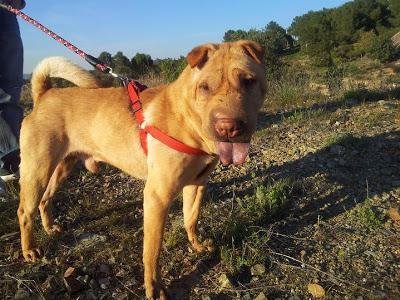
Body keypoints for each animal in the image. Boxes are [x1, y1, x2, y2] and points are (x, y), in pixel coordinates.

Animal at [18, 39, 266, 298]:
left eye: (248, 80)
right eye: (205, 87)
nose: (229, 128)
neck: (186, 119)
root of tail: (45, 94)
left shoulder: (197, 185)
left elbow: (191, 219)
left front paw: (197, 246)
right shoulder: (157, 197)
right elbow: (152, 251)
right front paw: (154, 286)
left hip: (62, 167)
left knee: (45, 199)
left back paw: (49, 228)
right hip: (37, 170)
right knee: (25, 211)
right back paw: (29, 250)